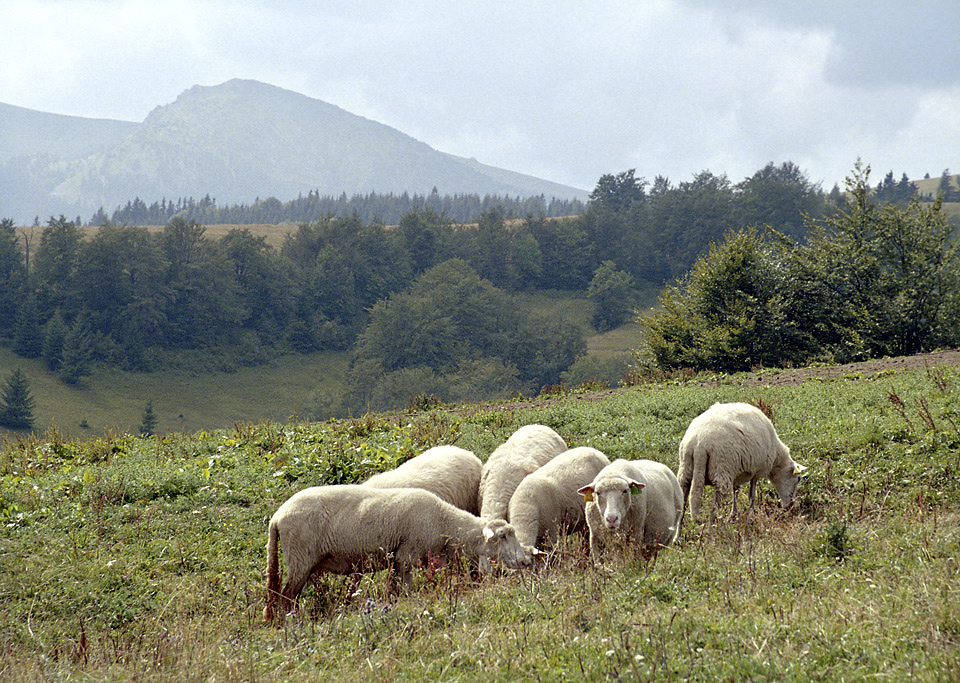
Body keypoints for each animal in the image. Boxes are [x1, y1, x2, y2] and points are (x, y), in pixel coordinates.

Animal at [262, 484, 528, 624]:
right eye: (503, 536)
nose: (525, 560)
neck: (445, 522)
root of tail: (277, 516)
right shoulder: (406, 556)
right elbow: (406, 590)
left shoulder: (399, 558)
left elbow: (394, 590)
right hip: (300, 557)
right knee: (286, 597)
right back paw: (290, 623)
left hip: (301, 561)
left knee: (286, 596)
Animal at [676, 400, 808, 524]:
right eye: (798, 479)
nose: (791, 507)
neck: (777, 458)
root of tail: (700, 443)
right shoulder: (757, 471)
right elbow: (752, 496)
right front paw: (750, 518)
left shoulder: (737, 471)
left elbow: (736, 491)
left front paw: (733, 515)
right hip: (721, 470)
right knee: (714, 507)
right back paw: (710, 531)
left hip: (686, 469)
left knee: (682, 503)